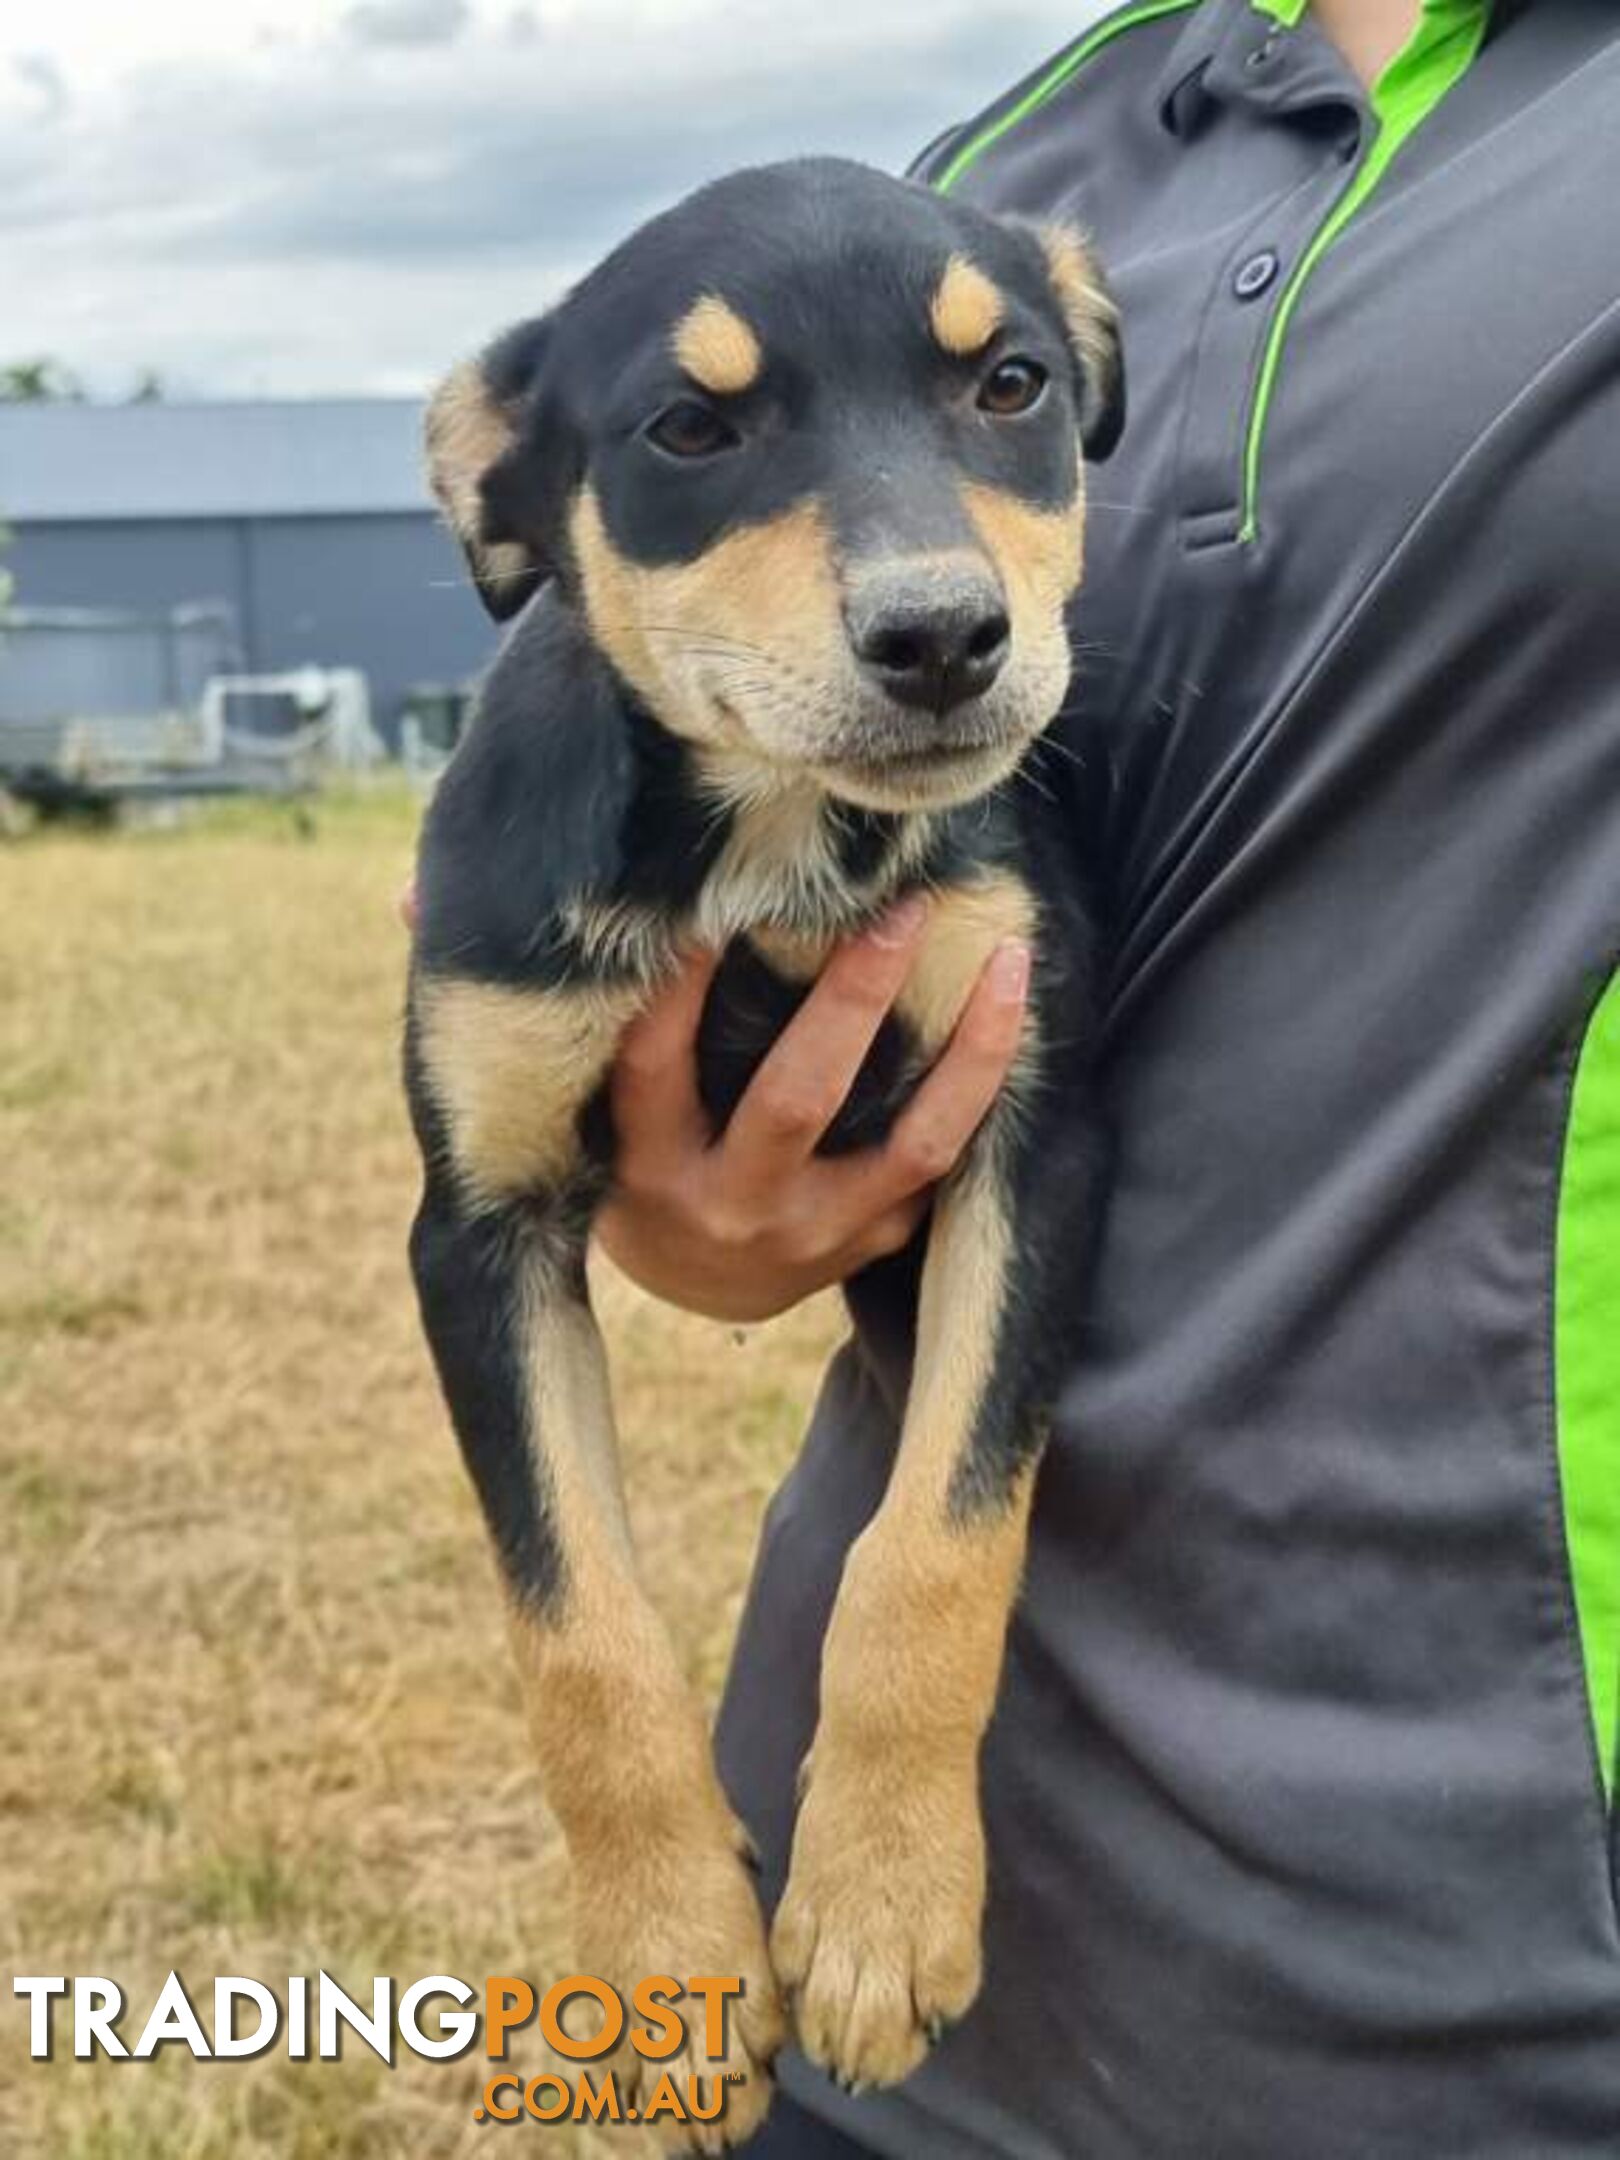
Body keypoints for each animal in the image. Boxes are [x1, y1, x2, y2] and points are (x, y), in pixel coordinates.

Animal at [406, 156, 1123, 2142]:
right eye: (691, 429)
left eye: (1011, 386)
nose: (945, 637)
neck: (769, 851)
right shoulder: (475, 1233)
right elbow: (578, 1630)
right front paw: (670, 1964)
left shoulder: (1030, 1142)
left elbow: (933, 1547)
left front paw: (882, 1903)